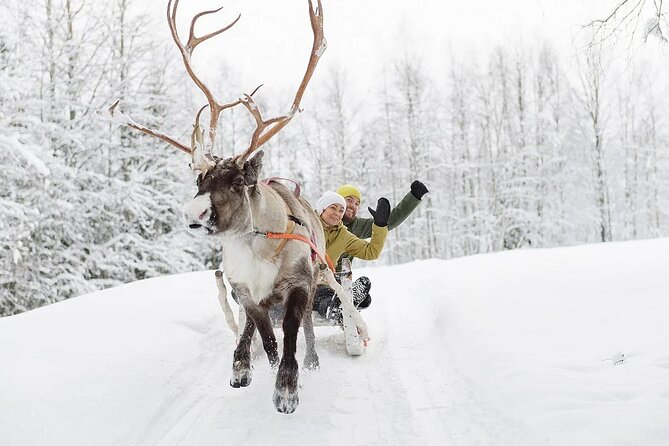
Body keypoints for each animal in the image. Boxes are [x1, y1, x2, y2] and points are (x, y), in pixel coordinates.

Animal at [105, 0, 369, 414]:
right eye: (199, 182)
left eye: (236, 183)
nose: (193, 213)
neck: (254, 249)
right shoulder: (244, 290)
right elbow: (263, 336)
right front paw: (248, 369)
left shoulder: (299, 283)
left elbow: (291, 332)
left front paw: (287, 388)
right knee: (252, 328)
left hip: (319, 276)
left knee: (312, 324)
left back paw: (313, 360)